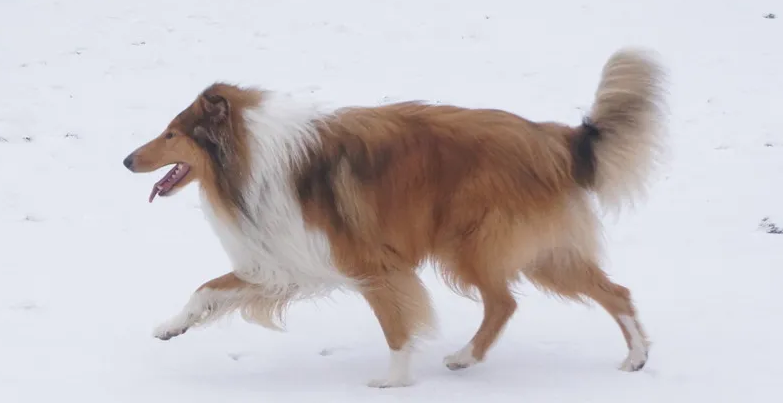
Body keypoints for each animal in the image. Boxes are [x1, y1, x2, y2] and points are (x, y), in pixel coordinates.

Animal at [122, 47, 668, 388]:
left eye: (171, 134)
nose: (126, 160)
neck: (249, 159)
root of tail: (553, 137)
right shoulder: (281, 260)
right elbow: (207, 290)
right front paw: (171, 327)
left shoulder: (374, 265)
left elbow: (394, 326)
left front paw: (394, 380)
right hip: (538, 252)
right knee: (611, 291)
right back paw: (636, 356)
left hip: (472, 244)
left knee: (506, 302)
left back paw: (465, 356)